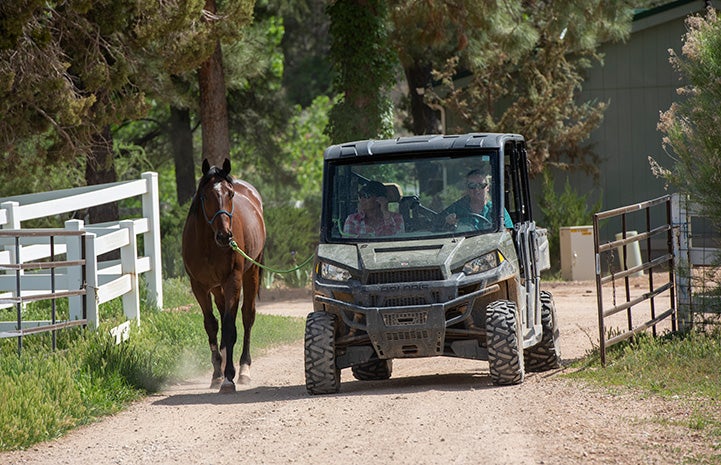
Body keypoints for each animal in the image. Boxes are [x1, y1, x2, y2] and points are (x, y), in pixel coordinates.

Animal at [181, 159, 266, 392]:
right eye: (206, 195)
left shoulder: (232, 281)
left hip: (250, 274)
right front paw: (218, 373)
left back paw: (244, 369)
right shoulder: (199, 286)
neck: (209, 244)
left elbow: (229, 326)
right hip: (217, 288)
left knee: (247, 317)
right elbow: (211, 325)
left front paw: (229, 377)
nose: (225, 235)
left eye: (230, 194)